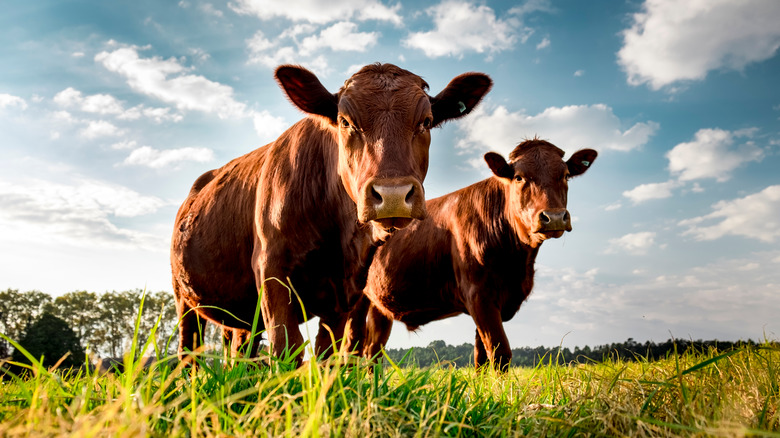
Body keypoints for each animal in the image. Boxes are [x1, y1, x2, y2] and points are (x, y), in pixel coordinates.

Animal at [171, 61, 490, 362]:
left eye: (426, 121)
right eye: (345, 121)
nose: (393, 195)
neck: (337, 233)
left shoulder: (345, 292)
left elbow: (327, 353)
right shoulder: (270, 269)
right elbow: (286, 345)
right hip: (184, 298)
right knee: (189, 350)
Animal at [348, 138, 596, 370]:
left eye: (565, 175)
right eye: (519, 177)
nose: (554, 217)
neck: (517, 263)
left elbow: (481, 357)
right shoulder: (478, 294)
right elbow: (500, 353)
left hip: (380, 305)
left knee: (373, 351)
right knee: (351, 347)